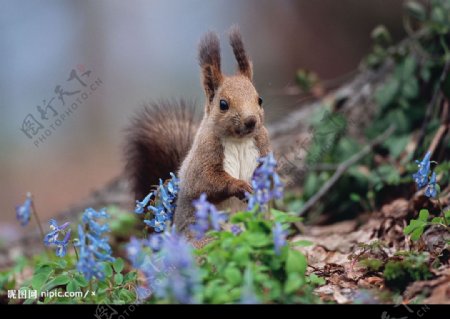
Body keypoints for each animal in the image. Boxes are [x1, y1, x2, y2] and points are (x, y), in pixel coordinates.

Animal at [124, 27, 270, 236]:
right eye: (223, 104)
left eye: (260, 100)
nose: (251, 121)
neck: (239, 140)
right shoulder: (204, 154)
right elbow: (205, 182)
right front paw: (240, 185)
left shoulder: (263, 145)